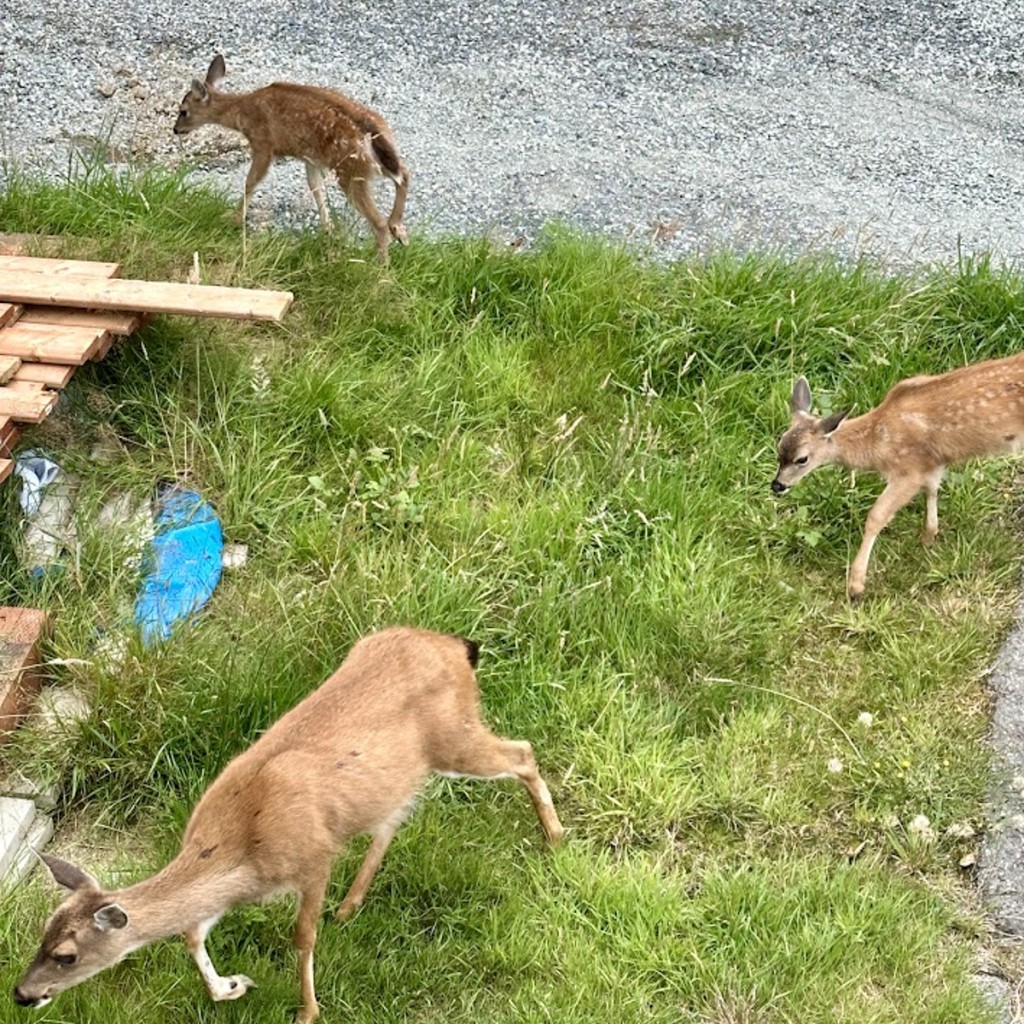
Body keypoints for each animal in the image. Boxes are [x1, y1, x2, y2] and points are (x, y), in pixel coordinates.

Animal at [14, 628, 564, 1023]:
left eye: (66, 955)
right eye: (42, 932)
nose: (21, 993)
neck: (242, 846)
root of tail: (454, 646)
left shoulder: (314, 857)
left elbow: (301, 936)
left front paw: (307, 1011)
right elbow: (193, 934)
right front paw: (234, 986)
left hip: (455, 737)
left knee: (522, 751)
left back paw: (555, 837)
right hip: (398, 773)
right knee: (393, 818)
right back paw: (350, 905)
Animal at [173, 55, 410, 262]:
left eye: (183, 111)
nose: (176, 130)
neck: (242, 112)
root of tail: (371, 132)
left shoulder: (264, 144)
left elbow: (251, 182)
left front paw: (234, 219)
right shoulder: (310, 157)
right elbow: (315, 187)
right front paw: (327, 229)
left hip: (351, 169)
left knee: (379, 221)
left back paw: (382, 268)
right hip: (378, 158)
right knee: (404, 173)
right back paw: (399, 230)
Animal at [772, 354, 1024, 599]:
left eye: (802, 459)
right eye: (778, 447)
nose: (777, 485)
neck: (876, 441)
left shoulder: (907, 470)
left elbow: (876, 516)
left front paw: (855, 586)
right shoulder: (930, 464)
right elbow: (932, 492)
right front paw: (928, 539)